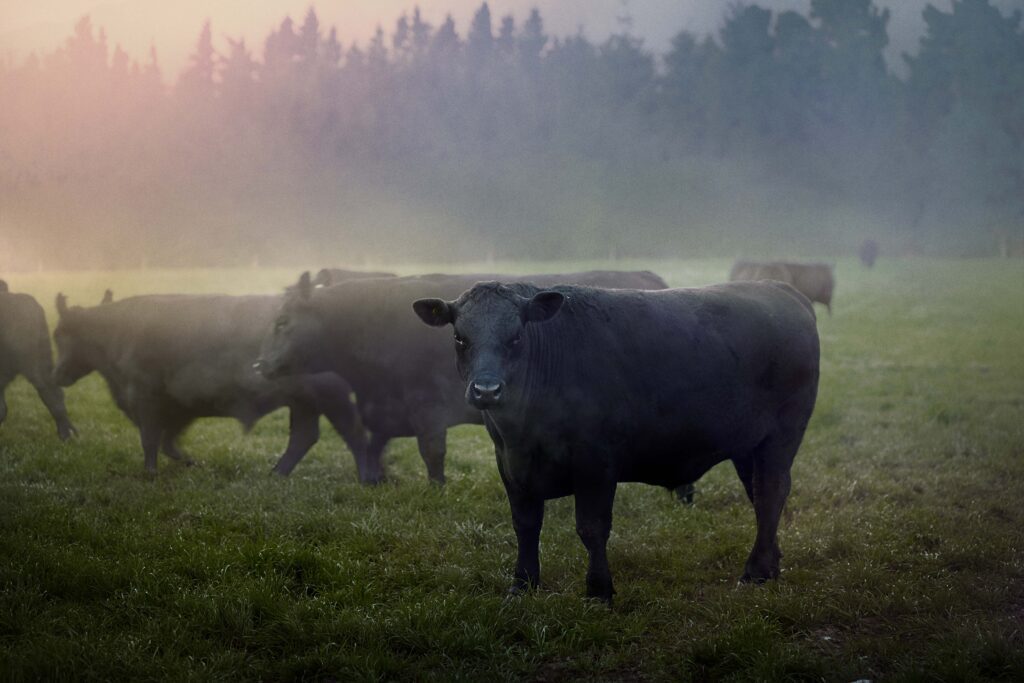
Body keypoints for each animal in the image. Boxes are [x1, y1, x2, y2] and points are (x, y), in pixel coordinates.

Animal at [52, 290, 368, 473]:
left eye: (59, 334)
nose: (57, 374)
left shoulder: (147, 397)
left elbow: (151, 439)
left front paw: (150, 473)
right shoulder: (177, 407)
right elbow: (168, 440)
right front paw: (191, 461)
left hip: (326, 396)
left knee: (348, 431)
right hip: (304, 402)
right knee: (305, 436)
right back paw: (276, 473)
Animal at [260, 270, 667, 483]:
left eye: (282, 322)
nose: (260, 365)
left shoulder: (427, 406)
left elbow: (432, 452)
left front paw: (437, 490)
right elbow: (372, 446)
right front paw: (374, 482)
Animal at [411, 280, 819, 602]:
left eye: (516, 337)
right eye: (460, 337)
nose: (486, 389)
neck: (525, 430)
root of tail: (781, 289)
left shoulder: (596, 462)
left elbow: (592, 528)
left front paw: (598, 590)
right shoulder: (511, 466)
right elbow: (525, 525)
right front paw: (522, 585)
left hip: (782, 435)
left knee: (771, 493)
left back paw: (755, 571)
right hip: (749, 446)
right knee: (760, 496)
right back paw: (770, 565)